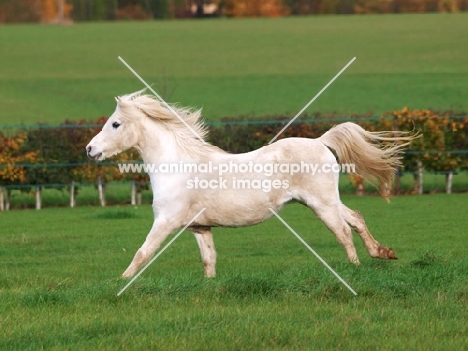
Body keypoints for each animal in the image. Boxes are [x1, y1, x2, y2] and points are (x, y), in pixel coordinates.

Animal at [86, 92, 414, 280]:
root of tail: (321, 142)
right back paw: (383, 253)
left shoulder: (165, 222)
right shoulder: (199, 227)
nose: (90, 149)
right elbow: (209, 261)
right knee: (356, 218)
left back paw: (354, 269)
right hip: (324, 201)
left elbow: (142, 253)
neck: (178, 166)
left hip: (321, 204)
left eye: (115, 124)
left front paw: (120, 282)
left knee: (343, 232)